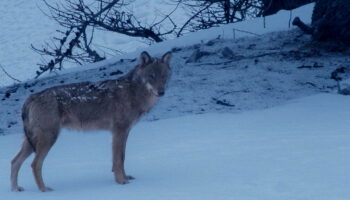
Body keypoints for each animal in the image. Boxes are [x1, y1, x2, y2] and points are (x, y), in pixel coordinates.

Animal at [11, 51, 173, 192]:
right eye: (151, 76)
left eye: (163, 76)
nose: (161, 92)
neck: (133, 92)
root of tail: (31, 97)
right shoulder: (119, 132)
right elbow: (118, 160)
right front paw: (121, 182)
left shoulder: (124, 132)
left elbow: (122, 158)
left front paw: (126, 178)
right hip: (48, 139)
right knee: (35, 164)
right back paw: (44, 189)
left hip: (33, 142)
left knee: (14, 161)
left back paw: (15, 189)